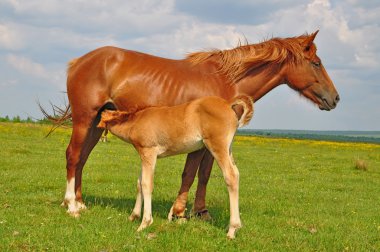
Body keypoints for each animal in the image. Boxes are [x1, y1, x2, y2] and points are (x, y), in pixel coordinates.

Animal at [54, 31, 338, 217]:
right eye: (316, 63)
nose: (334, 98)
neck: (225, 79)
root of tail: (79, 62)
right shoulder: (200, 141)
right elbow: (190, 173)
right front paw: (180, 212)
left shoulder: (211, 142)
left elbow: (204, 175)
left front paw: (200, 212)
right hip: (84, 119)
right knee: (73, 155)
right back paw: (71, 205)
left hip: (97, 123)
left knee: (82, 158)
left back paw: (79, 202)